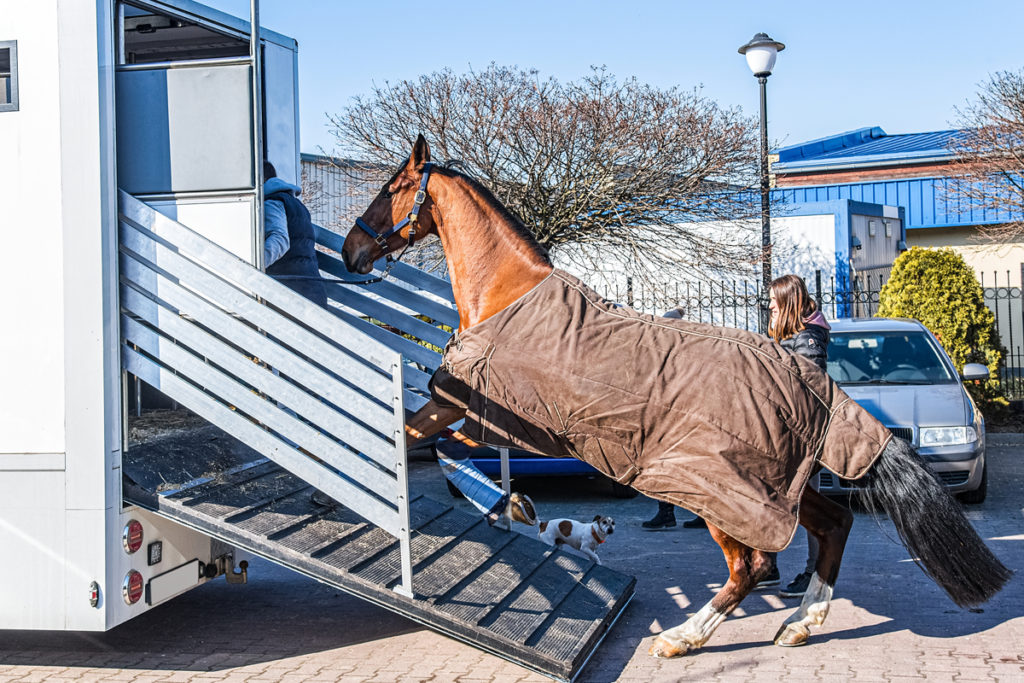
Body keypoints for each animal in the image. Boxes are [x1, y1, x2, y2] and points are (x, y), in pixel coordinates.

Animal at [341, 134, 1011, 658]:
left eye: (393, 187)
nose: (351, 250)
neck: (508, 296)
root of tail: (810, 380)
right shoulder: (494, 422)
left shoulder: (470, 410)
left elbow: (417, 436)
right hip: (779, 485)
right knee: (834, 523)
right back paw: (800, 623)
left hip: (722, 490)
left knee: (751, 567)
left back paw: (685, 636)